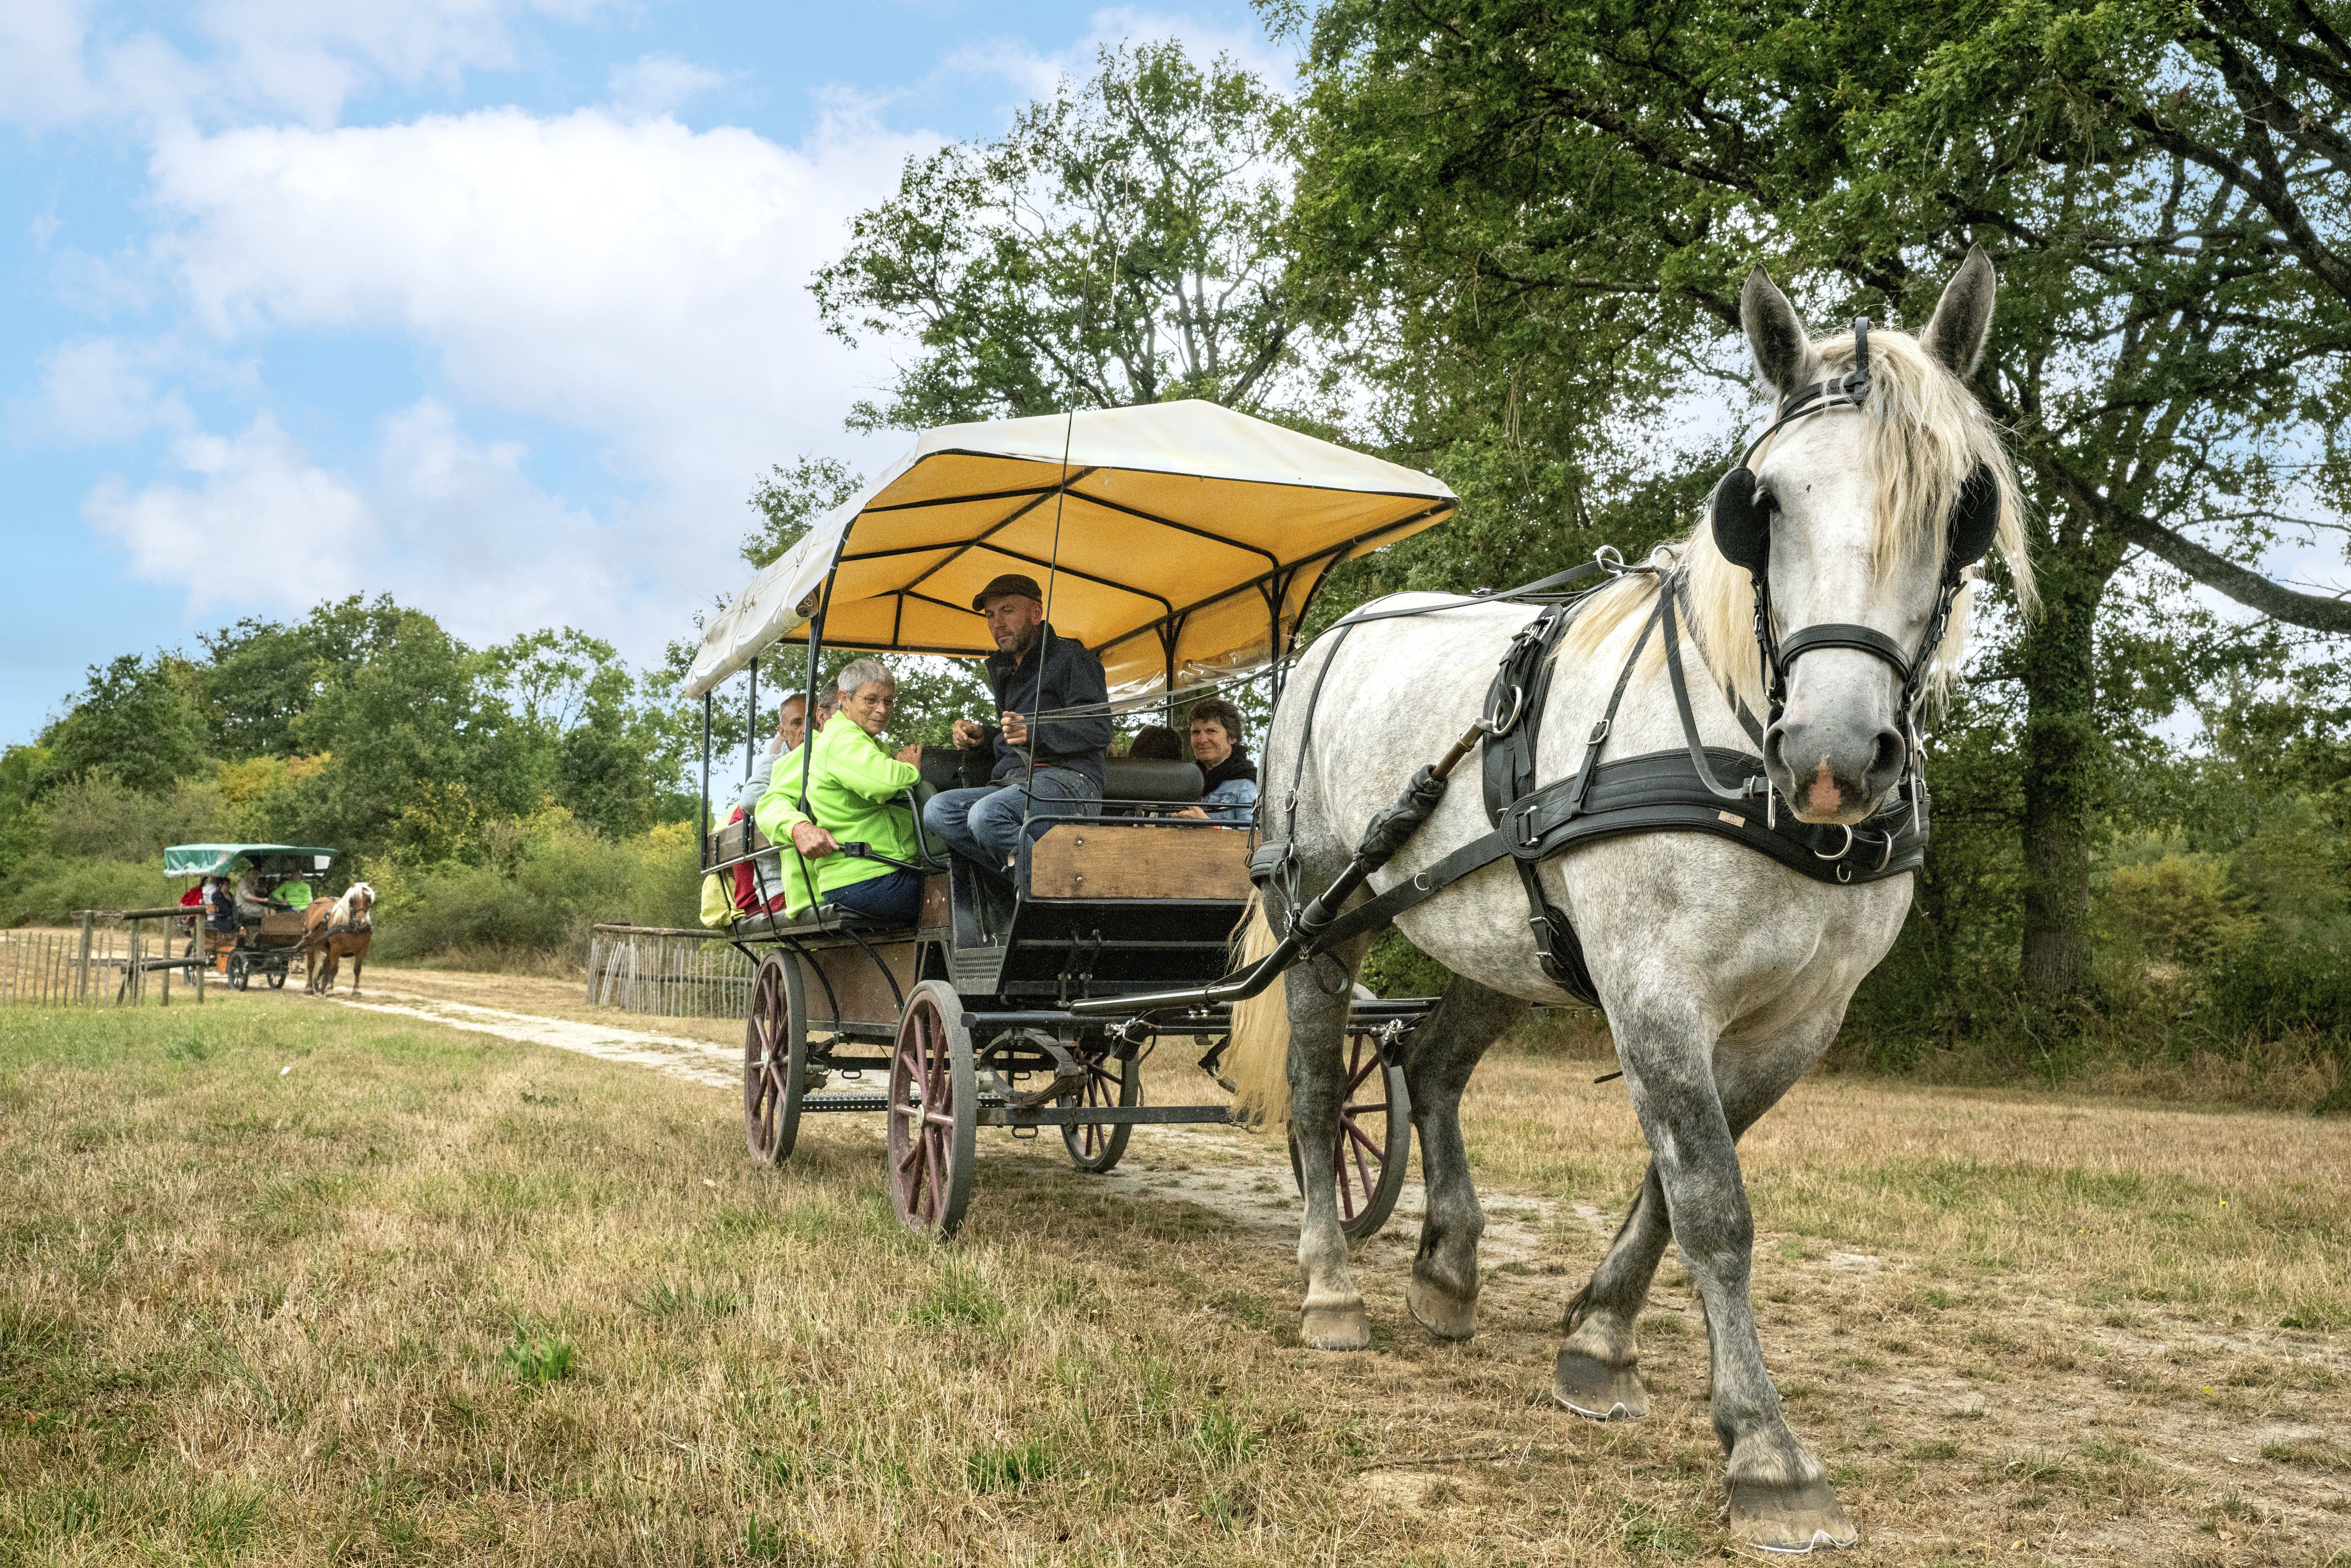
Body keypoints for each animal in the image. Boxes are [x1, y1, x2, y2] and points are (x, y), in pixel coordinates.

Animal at [304, 883, 375, 995]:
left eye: (369, 900)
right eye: (352, 900)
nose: (361, 922)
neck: (352, 928)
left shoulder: (363, 949)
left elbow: (357, 969)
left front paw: (356, 991)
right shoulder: (336, 948)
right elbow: (334, 969)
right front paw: (329, 989)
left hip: (328, 949)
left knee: (325, 966)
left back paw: (321, 987)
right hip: (310, 943)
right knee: (311, 965)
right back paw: (309, 988)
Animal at [1221, 250, 2034, 1553]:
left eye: (1960, 505)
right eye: (1761, 503)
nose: (1833, 757)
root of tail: (1337, 632)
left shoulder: (1796, 1020)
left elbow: (1671, 1181)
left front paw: (1598, 1342)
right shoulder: (1654, 989)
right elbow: (1712, 1201)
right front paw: (1765, 1451)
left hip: (1500, 936)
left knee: (1432, 1067)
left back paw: (1446, 1270)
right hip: (1321, 917)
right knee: (1312, 1095)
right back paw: (1331, 1289)